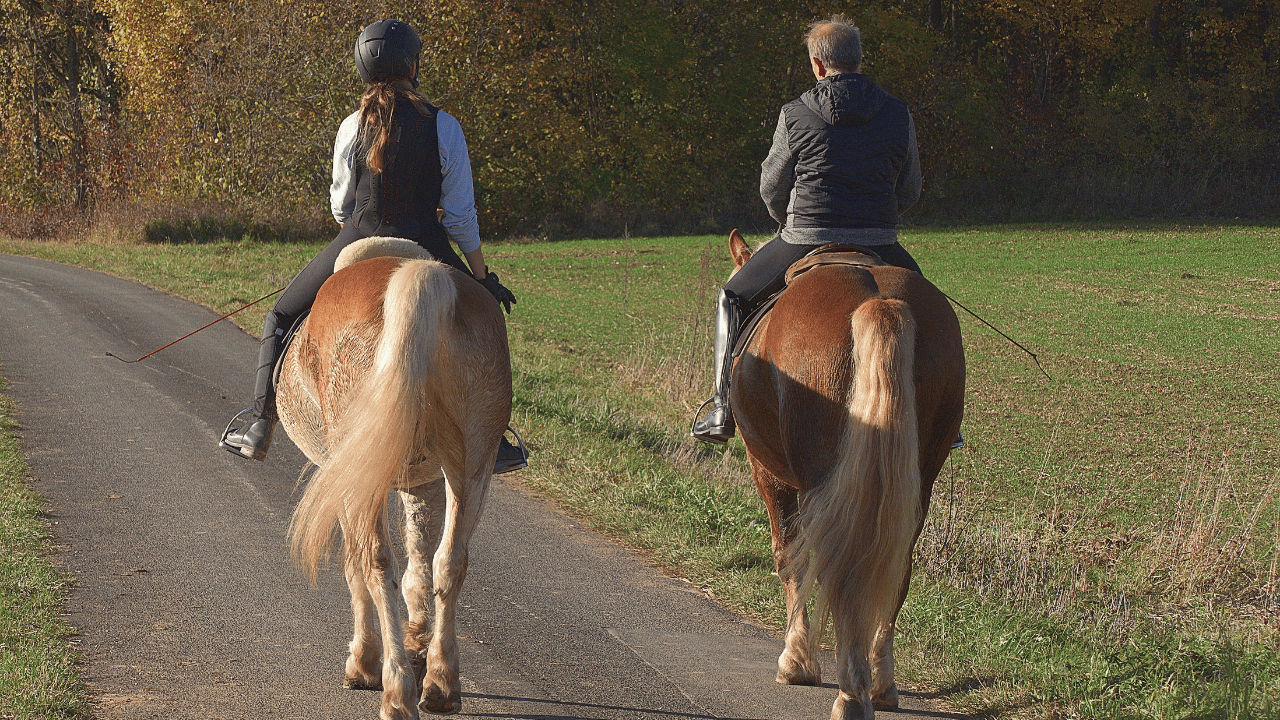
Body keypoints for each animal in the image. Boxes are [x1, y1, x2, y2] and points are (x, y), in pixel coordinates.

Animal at [276, 237, 512, 719]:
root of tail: (421, 278)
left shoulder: (346, 476)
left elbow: (358, 568)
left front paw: (364, 663)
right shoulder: (424, 481)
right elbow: (421, 566)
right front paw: (417, 644)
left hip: (362, 477)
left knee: (377, 562)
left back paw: (395, 689)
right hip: (474, 465)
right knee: (450, 559)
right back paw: (440, 683)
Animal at [724, 229, 964, 720]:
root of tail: (879, 303)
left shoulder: (770, 475)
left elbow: (789, 556)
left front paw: (796, 663)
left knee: (835, 567)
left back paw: (850, 694)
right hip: (917, 485)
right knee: (895, 569)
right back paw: (881, 686)